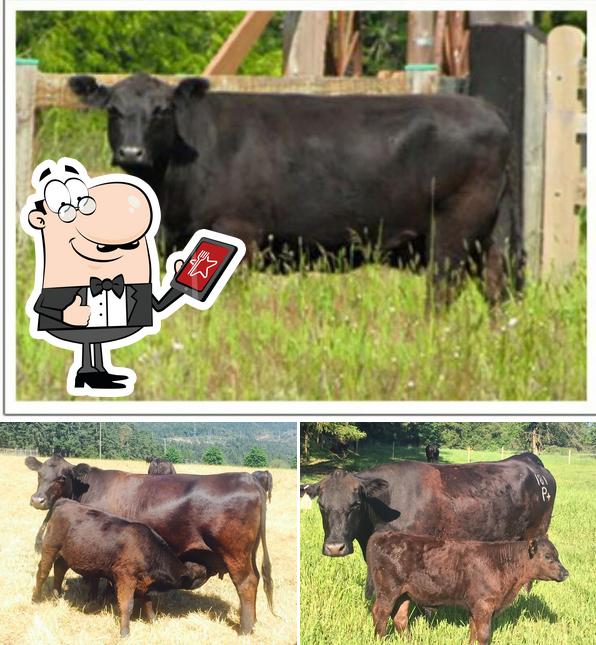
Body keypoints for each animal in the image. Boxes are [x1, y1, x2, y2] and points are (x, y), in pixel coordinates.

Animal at [33, 499, 208, 637]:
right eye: (199, 575)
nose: (207, 569)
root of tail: (65, 501)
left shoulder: (144, 582)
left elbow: (148, 602)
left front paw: (153, 620)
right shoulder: (126, 577)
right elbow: (127, 605)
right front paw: (125, 632)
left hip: (67, 553)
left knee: (59, 568)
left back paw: (56, 596)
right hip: (50, 546)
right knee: (43, 571)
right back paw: (36, 598)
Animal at [69, 73, 523, 304]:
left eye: (162, 110)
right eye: (113, 110)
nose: (132, 151)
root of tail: (489, 110)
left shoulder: (237, 231)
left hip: (455, 227)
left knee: (443, 290)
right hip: (490, 232)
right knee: (498, 288)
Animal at [367, 532, 568, 644]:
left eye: (556, 555)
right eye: (548, 556)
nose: (565, 573)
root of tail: (382, 535)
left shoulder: (475, 607)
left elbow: (474, 632)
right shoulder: (484, 605)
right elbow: (484, 635)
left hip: (404, 593)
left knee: (400, 618)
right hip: (388, 590)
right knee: (380, 613)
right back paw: (379, 639)